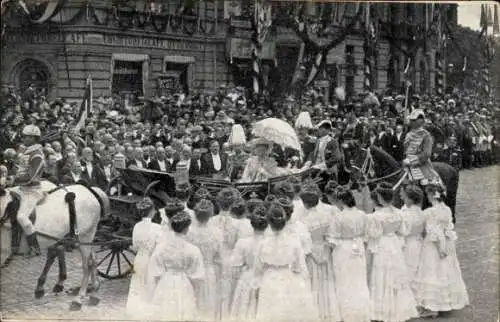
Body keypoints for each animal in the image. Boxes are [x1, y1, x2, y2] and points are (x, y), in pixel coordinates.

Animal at [0, 181, 109, 310]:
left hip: (85, 236)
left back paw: (79, 297)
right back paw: (94, 290)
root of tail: (91, 190)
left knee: (86, 265)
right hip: (75, 239)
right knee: (92, 258)